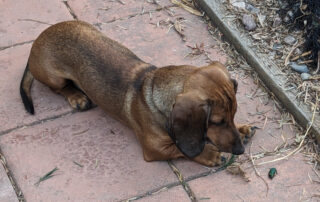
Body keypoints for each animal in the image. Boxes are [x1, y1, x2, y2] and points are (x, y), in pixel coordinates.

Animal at [19, 20, 255, 166]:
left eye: (233, 115)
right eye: (216, 121)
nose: (240, 151)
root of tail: (37, 42)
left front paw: (242, 129)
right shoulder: (155, 148)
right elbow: (180, 148)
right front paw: (209, 153)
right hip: (54, 77)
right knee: (58, 88)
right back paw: (77, 97)